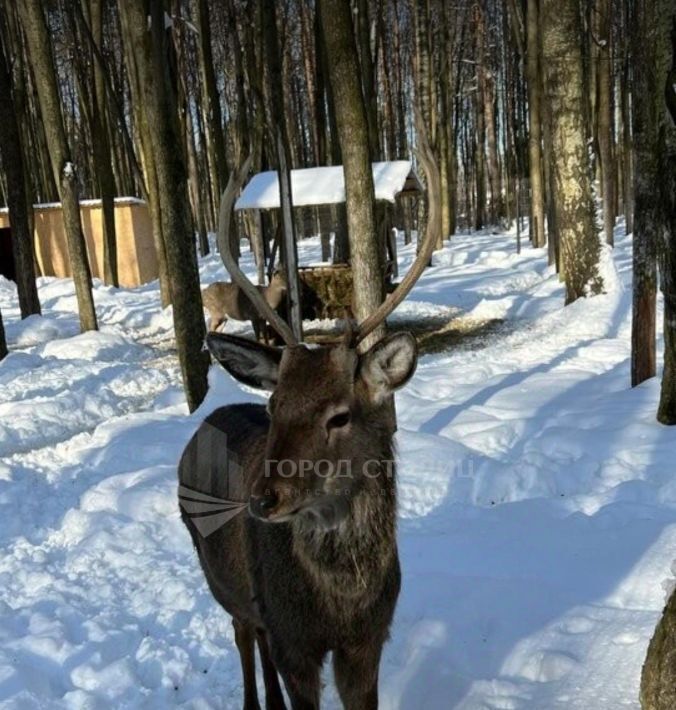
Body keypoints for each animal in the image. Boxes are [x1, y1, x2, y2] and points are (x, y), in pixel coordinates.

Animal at [180, 114, 440, 708]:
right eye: (275, 406)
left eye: (339, 415)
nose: (263, 500)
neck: (340, 607)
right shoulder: (293, 639)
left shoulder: (369, 639)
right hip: (219, 578)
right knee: (244, 634)